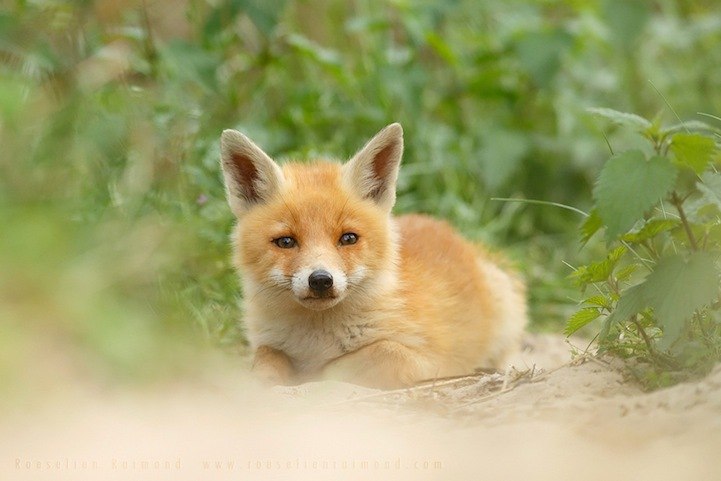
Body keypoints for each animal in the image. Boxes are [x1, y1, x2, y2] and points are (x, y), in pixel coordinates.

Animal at [218, 122, 524, 388]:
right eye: (285, 241)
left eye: (348, 238)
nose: (320, 280)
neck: (316, 342)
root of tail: (443, 227)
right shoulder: (266, 344)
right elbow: (266, 359)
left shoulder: (432, 360)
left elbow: (360, 359)